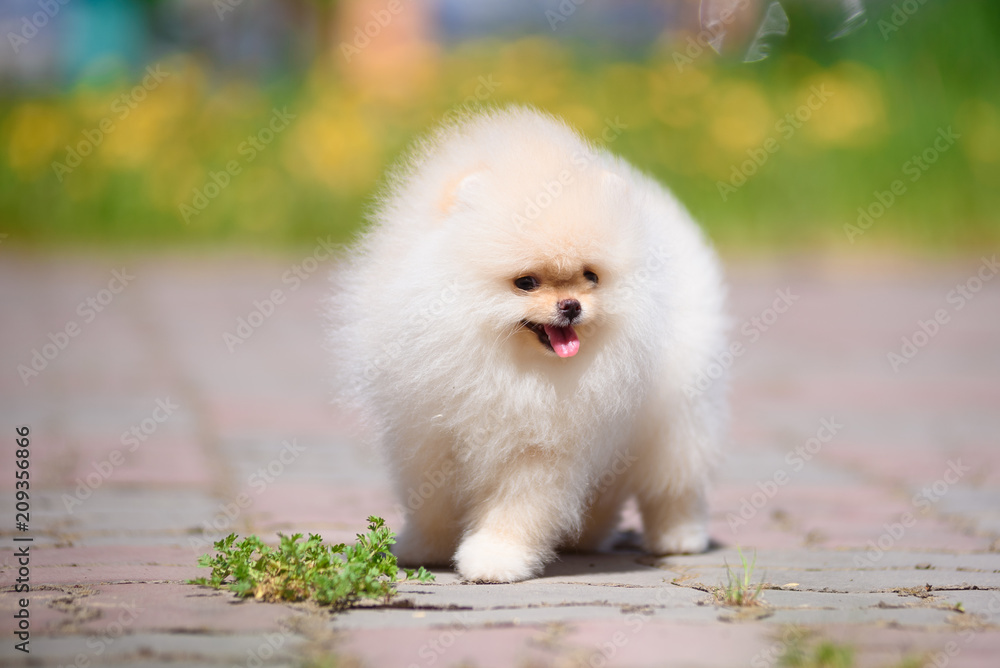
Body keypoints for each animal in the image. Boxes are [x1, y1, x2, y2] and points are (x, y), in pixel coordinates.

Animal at [328, 105, 728, 584]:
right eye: (526, 282)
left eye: (591, 276)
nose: (571, 305)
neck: (504, 362)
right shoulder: (429, 436)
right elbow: (431, 504)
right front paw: (424, 548)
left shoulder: (539, 448)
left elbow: (517, 508)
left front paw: (494, 558)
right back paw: (585, 537)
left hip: (676, 414)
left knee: (674, 483)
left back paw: (679, 537)